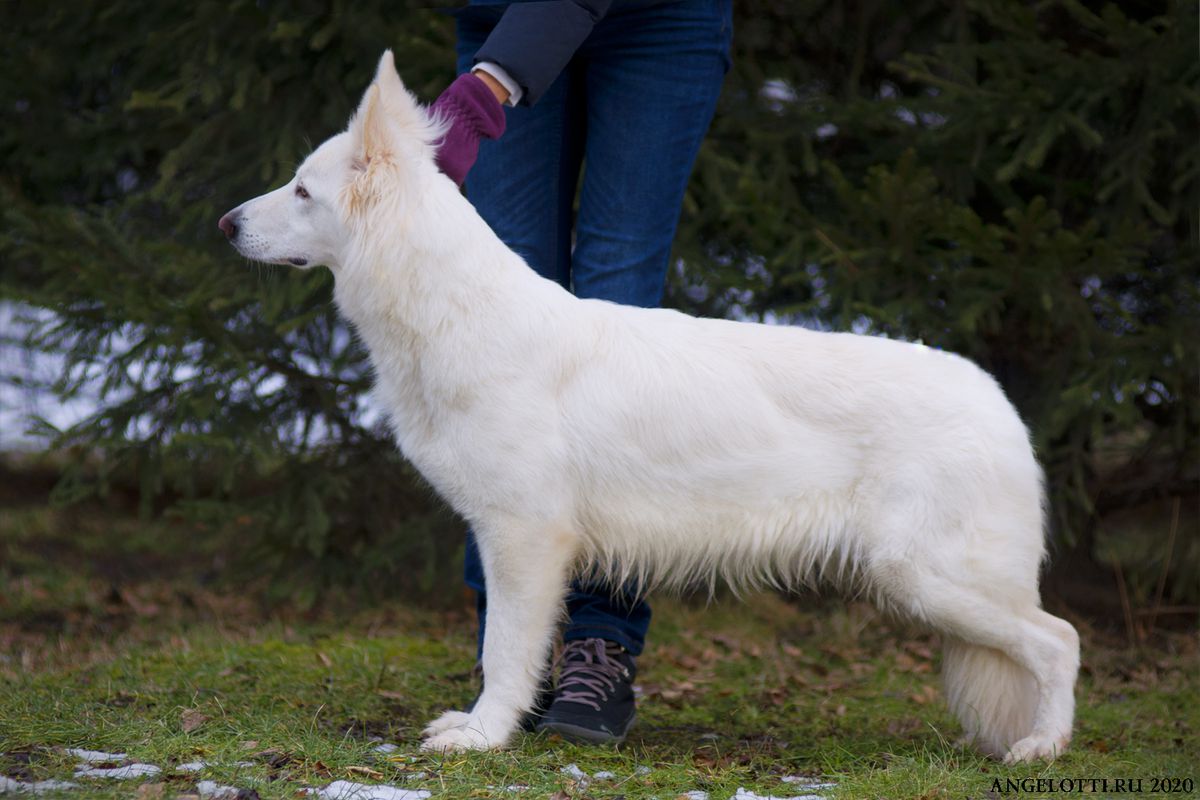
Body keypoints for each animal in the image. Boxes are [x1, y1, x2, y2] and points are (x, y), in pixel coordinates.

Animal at [220, 51, 1084, 762]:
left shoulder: (525, 539)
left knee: (1060, 639)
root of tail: (996, 398)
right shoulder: (512, 543)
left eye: (302, 190)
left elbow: (505, 650)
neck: (454, 311)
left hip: (931, 577)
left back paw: (1041, 748)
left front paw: (485, 735)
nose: (224, 223)